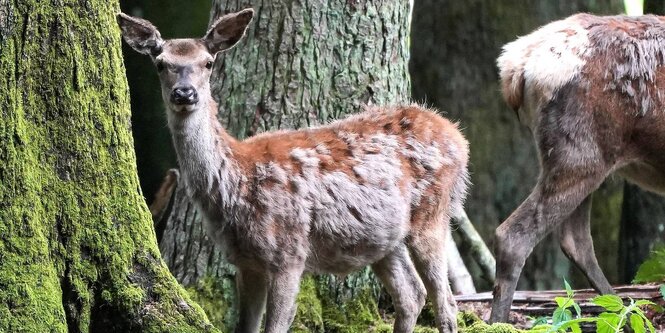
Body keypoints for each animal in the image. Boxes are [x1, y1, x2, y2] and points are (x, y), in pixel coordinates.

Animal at [116, 7, 470, 332]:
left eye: (208, 62)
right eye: (161, 63)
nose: (184, 93)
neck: (236, 182)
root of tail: (457, 136)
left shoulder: (289, 252)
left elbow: (276, 325)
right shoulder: (245, 262)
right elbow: (246, 327)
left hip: (432, 213)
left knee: (445, 301)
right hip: (384, 237)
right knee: (411, 294)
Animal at [488, 13, 664, 322]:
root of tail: (515, 65)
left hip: (583, 160)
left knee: (575, 240)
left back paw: (622, 309)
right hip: (579, 156)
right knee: (514, 236)